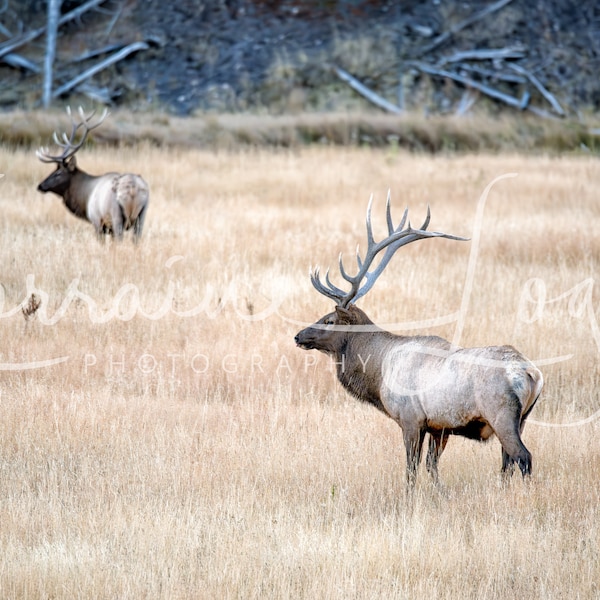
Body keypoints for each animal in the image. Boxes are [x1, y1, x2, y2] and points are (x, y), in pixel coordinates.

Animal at [36, 106, 149, 240]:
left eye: (58, 173)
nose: (40, 186)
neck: (84, 199)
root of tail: (132, 188)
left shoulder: (97, 221)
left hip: (116, 215)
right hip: (142, 215)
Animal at [296, 197, 544, 488]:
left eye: (330, 319)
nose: (299, 335)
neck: (379, 374)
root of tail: (531, 373)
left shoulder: (410, 418)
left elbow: (411, 469)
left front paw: (409, 497)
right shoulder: (439, 427)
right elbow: (432, 466)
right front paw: (440, 494)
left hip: (500, 413)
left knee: (523, 457)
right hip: (523, 418)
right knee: (507, 463)